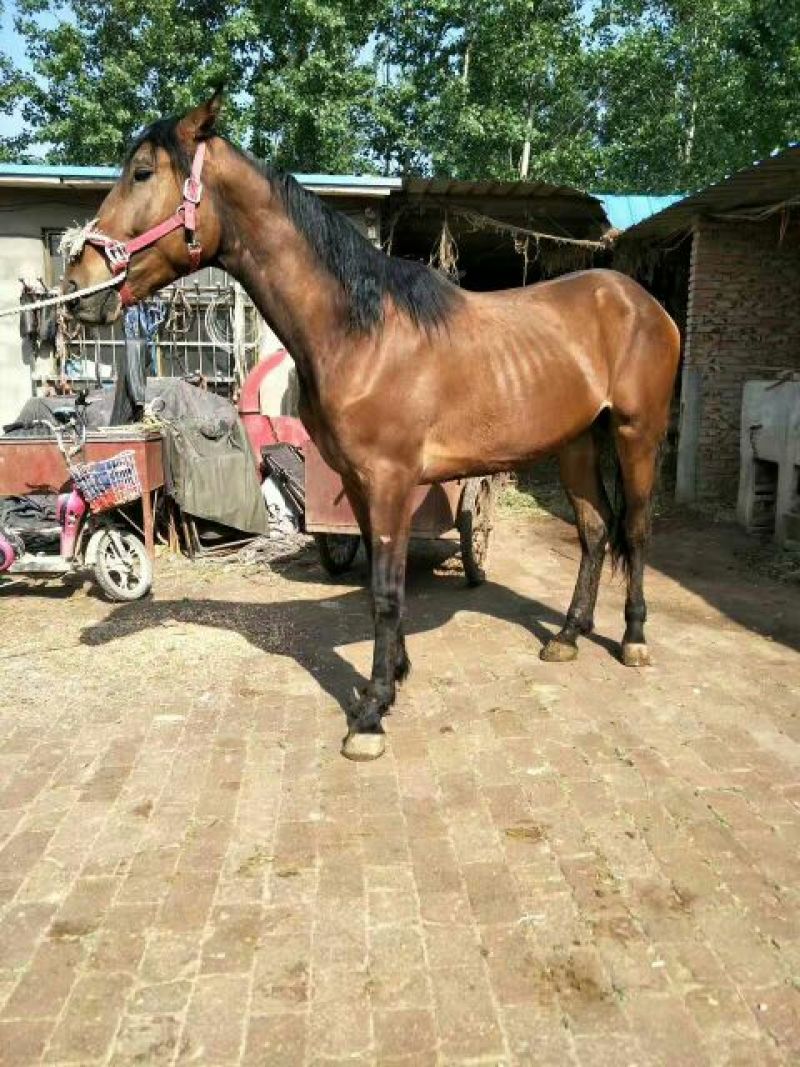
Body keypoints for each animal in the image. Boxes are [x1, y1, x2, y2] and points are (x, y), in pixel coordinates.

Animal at [63, 93, 681, 761]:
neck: (360, 332)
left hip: (636, 435)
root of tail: (643, 303)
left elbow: (387, 590)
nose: (77, 289)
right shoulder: (360, 483)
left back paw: (633, 640)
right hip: (576, 443)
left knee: (635, 530)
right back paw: (567, 634)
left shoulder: (389, 480)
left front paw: (371, 715)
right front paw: (392, 679)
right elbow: (381, 590)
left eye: (142, 172)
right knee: (594, 532)